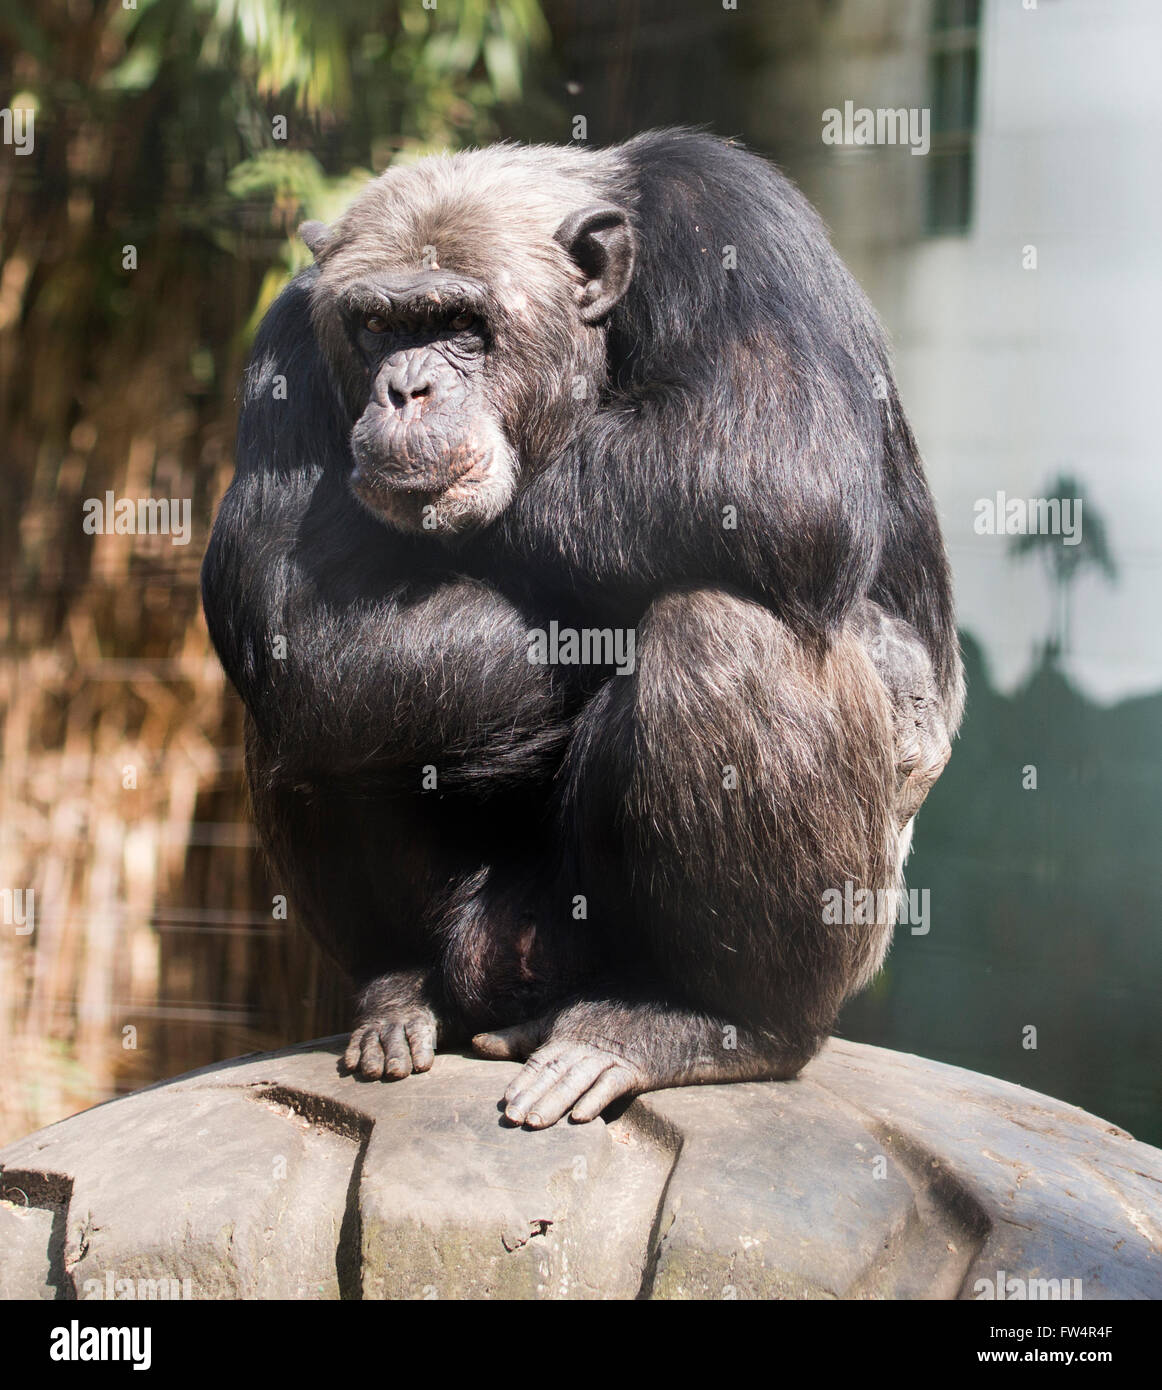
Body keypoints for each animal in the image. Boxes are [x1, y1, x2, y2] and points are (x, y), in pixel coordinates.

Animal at [201, 130, 961, 1128]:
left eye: (461, 323)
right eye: (376, 328)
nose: (405, 389)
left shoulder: (736, 217)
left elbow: (780, 463)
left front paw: (899, 676)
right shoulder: (289, 337)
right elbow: (298, 618)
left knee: (727, 631)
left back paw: (706, 1024)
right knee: (301, 710)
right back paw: (398, 993)